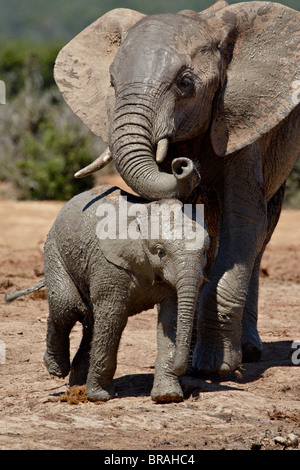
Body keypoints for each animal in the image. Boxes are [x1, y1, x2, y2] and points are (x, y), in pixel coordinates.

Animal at [8, 185, 209, 402]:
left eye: (205, 252)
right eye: (160, 251)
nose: (182, 370)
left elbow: (171, 318)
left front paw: (167, 396)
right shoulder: (109, 266)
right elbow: (113, 317)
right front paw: (100, 396)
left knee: (89, 321)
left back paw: (77, 384)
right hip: (54, 249)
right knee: (67, 308)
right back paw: (57, 368)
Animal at [54, 0, 300, 374]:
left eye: (185, 83)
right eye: (111, 82)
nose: (183, 165)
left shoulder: (241, 123)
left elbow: (243, 222)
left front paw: (215, 367)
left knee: (261, 232)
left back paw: (247, 351)